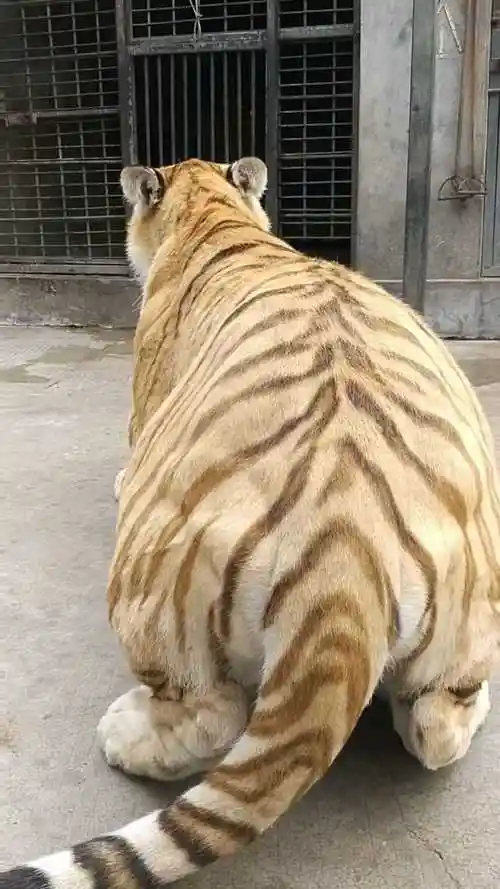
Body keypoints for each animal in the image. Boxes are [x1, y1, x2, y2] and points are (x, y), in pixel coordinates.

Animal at [2, 155, 500, 889]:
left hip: (153, 588)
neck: (219, 216)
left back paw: (124, 733)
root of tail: (344, 558)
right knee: (438, 724)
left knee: (207, 713)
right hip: (469, 618)